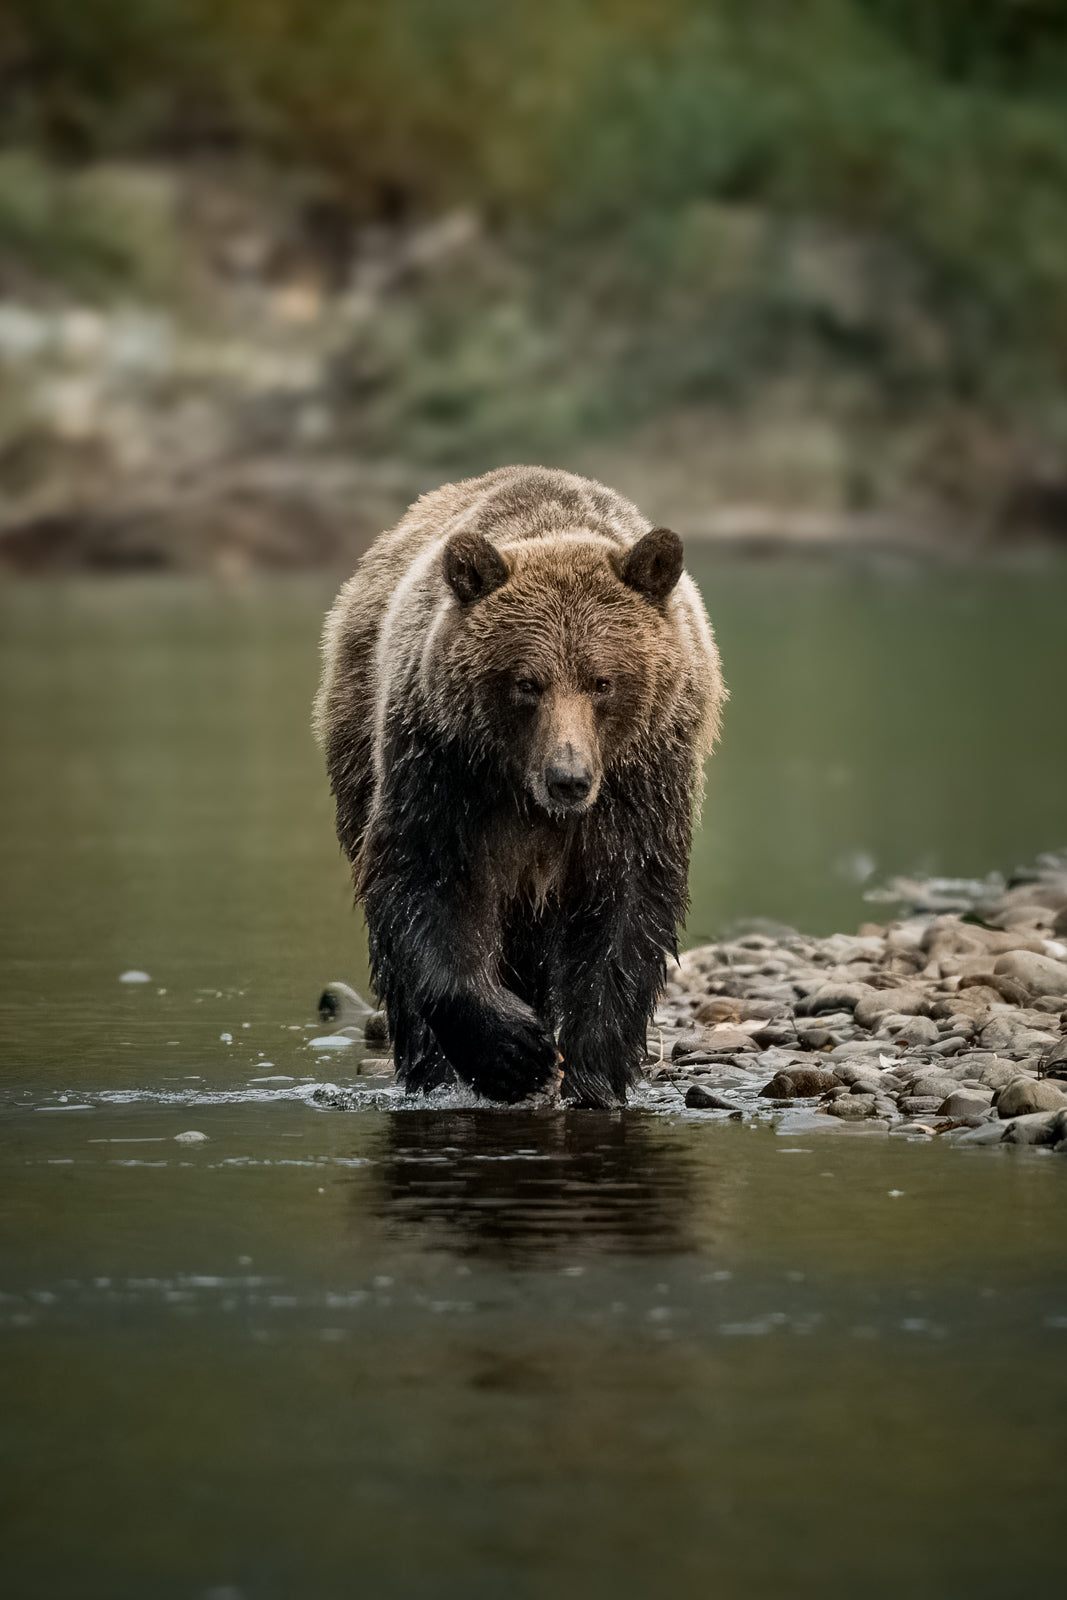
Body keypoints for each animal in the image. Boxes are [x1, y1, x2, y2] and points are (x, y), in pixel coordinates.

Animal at [314, 465, 725, 1107]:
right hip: (358, 734)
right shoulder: (443, 766)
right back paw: (433, 1071)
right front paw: (513, 1051)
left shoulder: (641, 784)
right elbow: (423, 881)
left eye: (602, 681)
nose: (568, 779)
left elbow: (627, 912)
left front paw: (592, 1072)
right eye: (527, 683)